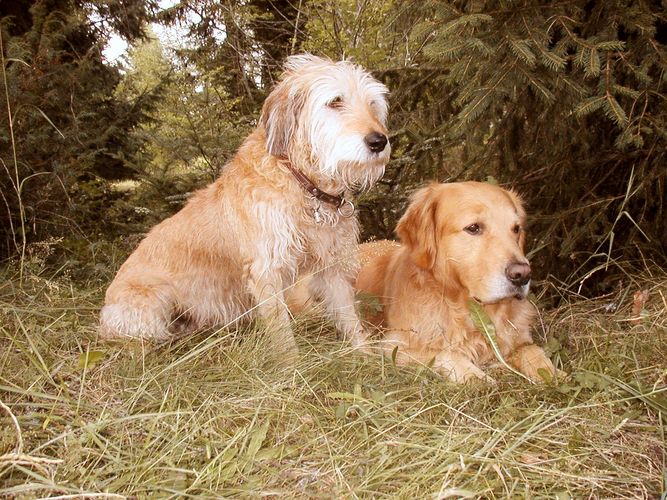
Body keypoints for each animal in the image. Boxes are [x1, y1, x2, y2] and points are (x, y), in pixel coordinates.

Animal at [99, 52, 392, 354]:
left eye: (372, 103)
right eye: (335, 101)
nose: (379, 141)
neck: (302, 182)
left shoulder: (330, 264)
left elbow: (348, 316)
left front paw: (364, 355)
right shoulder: (267, 271)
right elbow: (283, 334)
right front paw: (293, 366)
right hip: (152, 303)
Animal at [354, 183, 560, 382]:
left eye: (516, 229)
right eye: (473, 228)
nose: (523, 274)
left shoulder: (520, 338)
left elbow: (532, 350)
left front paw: (554, 374)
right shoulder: (393, 344)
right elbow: (445, 353)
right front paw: (476, 377)